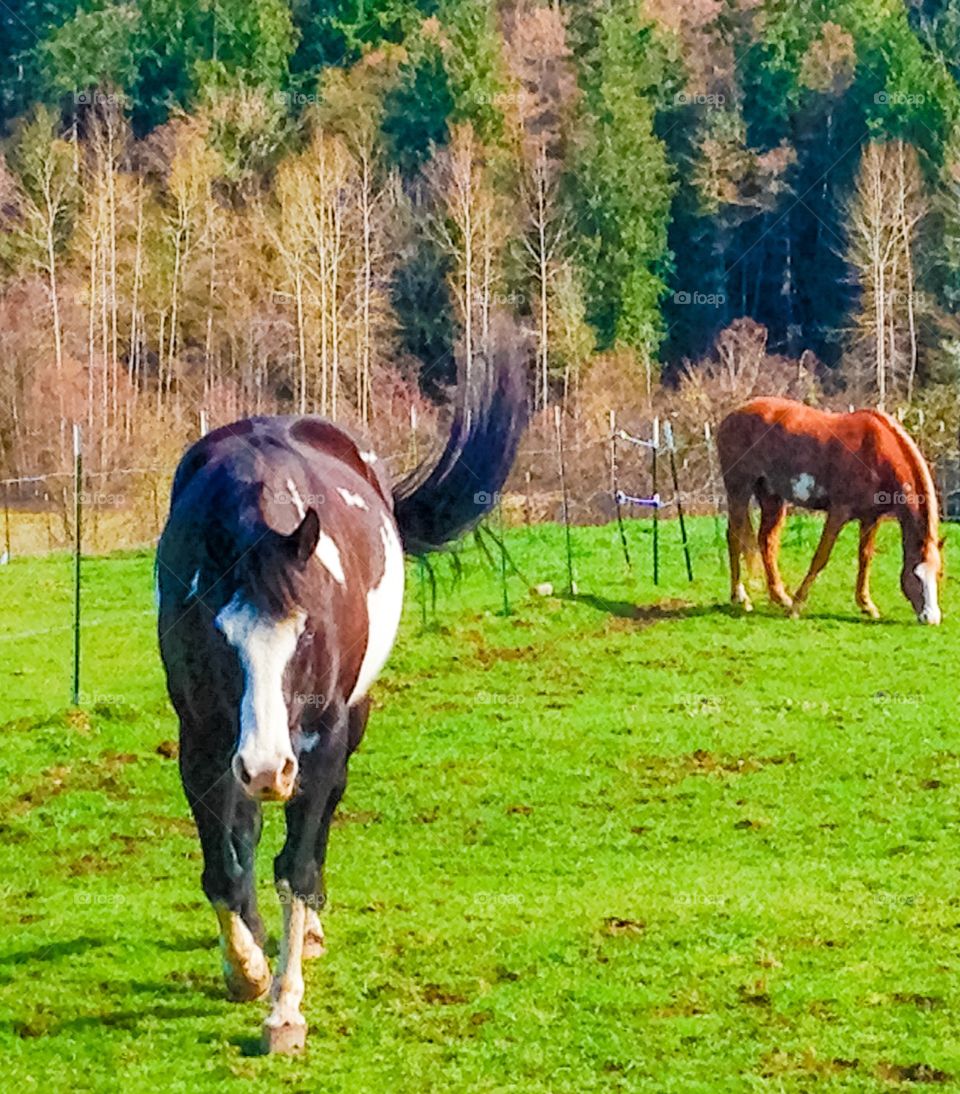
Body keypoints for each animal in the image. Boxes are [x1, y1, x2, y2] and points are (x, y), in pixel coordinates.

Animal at [156, 330, 526, 1053]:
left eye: (306, 633)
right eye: (219, 635)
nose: (268, 767)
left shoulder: (319, 738)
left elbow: (296, 867)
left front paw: (284, 1010)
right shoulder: (203, 738)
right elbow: (222, 862)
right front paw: (245, 967)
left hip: (341, 728)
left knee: (317, 820)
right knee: (246, 830)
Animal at [717, 396, 942, 624]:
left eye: (939, 574)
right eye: (916, 575)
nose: (931, 618)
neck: (877, 452)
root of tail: (732, 415)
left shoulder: (871, 518)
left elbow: (865, 557)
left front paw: (866, 605)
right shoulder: (838, 513)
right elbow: (821, 557)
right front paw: (797, 607)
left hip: (771, 497)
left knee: (766, 541)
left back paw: (780, 597)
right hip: (739, 490)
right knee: (734, 536)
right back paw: (741, 598)